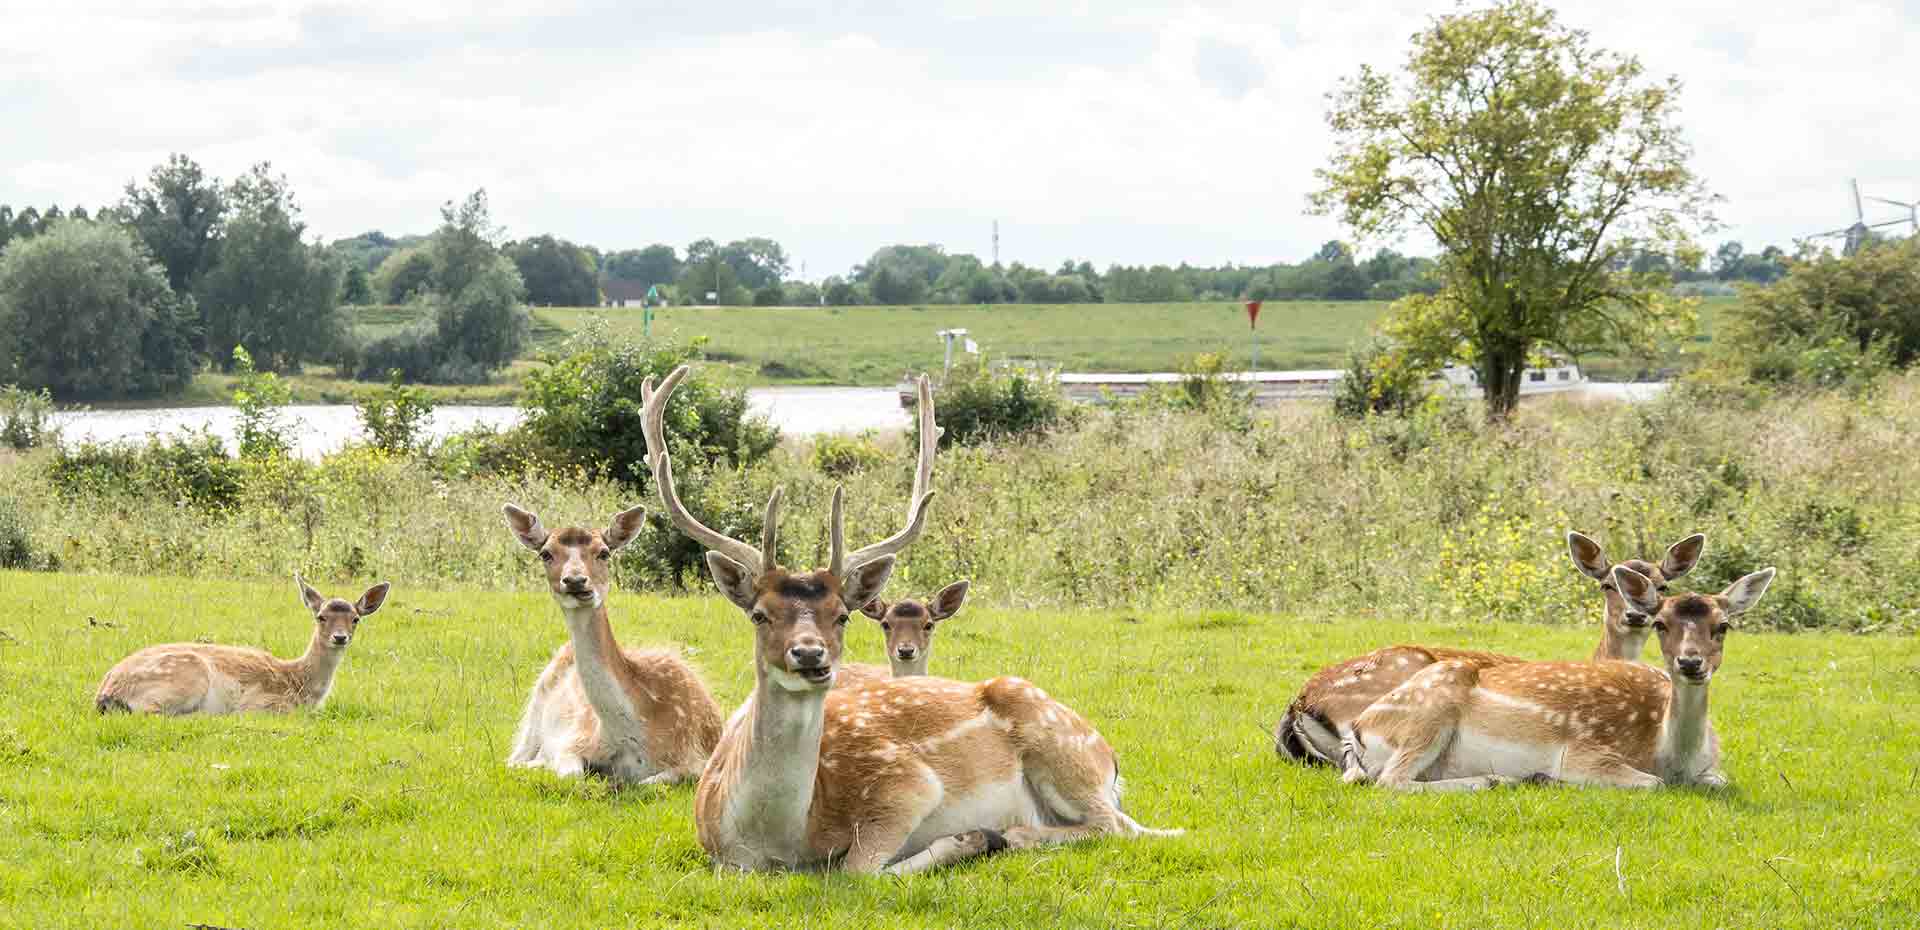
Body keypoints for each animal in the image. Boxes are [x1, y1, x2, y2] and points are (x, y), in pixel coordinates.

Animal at [96, 572, 389, 718]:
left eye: (355, 619)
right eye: (321, 617)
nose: (340, 637)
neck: (300, 686)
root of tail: (105, 693)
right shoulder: (267, 703)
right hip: (187, 676)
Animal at [506, 499, 721, 783]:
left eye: (604, 553)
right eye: (546, 554)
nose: (575, 581)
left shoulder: (698, 756)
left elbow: (654, 781)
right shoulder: (575, 739)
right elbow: (570, 773)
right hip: (535, 705)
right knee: (514, 758)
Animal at [645, 368, 1175, 872]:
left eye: (842, 616)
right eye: (759, 614)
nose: (810, 654)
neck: (776, 843)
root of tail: (1110, 758)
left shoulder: (908, 783)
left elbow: (856, 869)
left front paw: (968, 839)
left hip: (1064, 752)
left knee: (1122, 827)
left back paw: (1010, 834)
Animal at [1336, 564, 1766, 787]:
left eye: (1723, 626)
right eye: (1660, 624)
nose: (1690, 663)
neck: (1669, 756)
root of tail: (1357, 731)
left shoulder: (1711, 769)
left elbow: (1722, 780)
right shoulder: (1584, 752)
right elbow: (1651, 783)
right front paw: (1551, 777)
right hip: (1427, 713)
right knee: (1391, 781)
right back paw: (1503, 780)